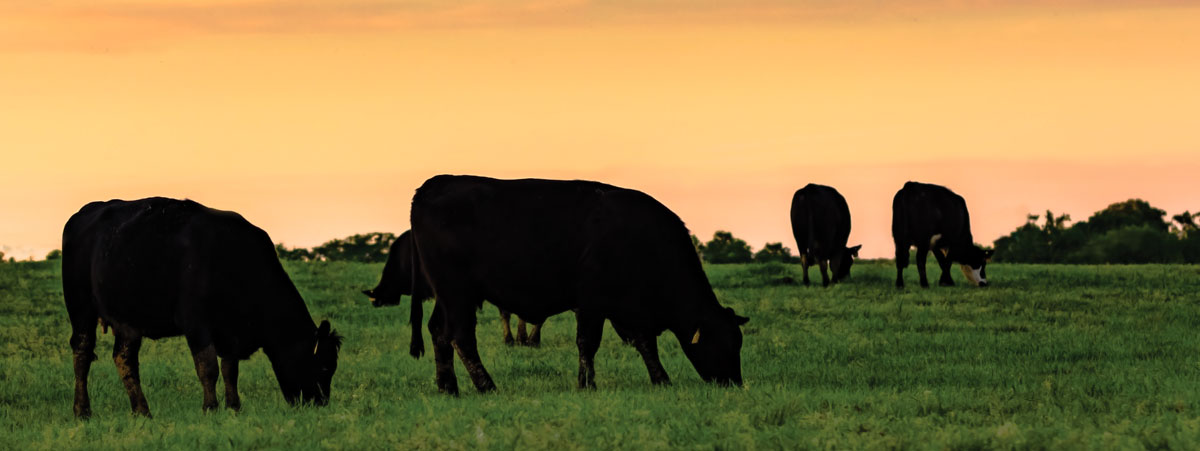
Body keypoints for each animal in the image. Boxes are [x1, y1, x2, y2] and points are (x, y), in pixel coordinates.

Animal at [62, 197, 342, 418]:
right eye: (324, 367)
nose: (320, 404)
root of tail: (87, 210)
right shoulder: (196, 323)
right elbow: (208, 367)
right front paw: (210, 408)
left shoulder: (230, 332)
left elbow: (230, 370)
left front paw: (234, 407)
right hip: (80, 306)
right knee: (82, 352)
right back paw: (82, 411)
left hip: (127, 319)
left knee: (124, 358)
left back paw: (142, 411)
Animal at [410, 175, 748, 394]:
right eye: (723, 344)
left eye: (738, 342)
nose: (734, 383)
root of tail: (434, 184)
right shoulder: (592, 302)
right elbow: (588, 343)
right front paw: (587, 384)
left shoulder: (630, 309)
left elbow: (645, 344)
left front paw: (661, 379)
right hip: (458, 292)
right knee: (461, 336)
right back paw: (486, 386)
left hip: (447, 295)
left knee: (439, 332)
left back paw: (448, 387)